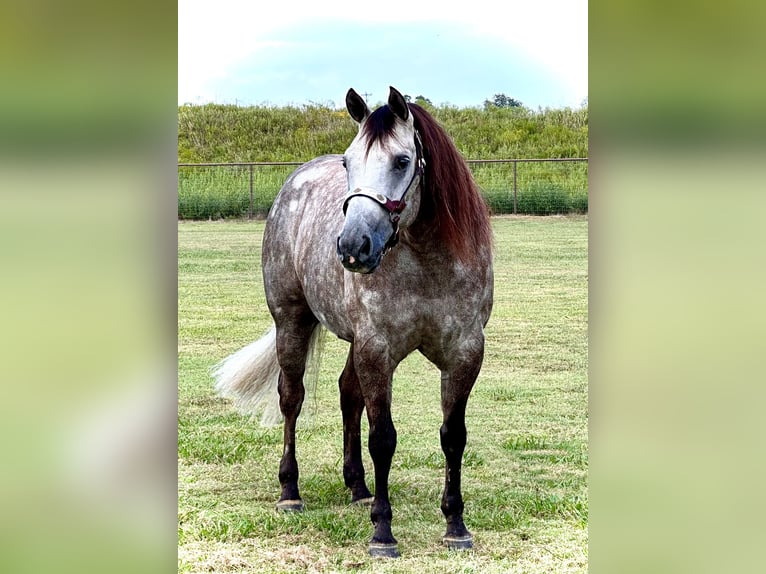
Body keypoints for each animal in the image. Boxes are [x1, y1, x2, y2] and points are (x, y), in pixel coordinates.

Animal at [213, 86, 494, 558]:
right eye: (348, 162)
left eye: (402, 160)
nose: (352, 245)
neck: (428, 262)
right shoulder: (376, 349)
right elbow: (383, 438)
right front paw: (382, 532)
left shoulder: (465, 352)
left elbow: (453, 436)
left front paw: (456, 525)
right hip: (292, 321)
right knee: (292, 398)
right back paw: (290, 492)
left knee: (348, 394)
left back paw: (358, 487)